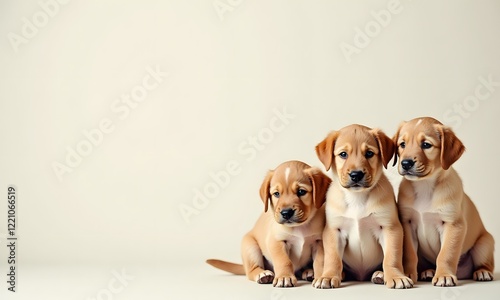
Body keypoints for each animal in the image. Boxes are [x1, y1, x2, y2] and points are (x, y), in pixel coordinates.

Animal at [312, 124, 414, 288]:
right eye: (343, 154)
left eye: (369, 153)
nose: (356, 175)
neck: (357, 197)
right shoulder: (334, 230)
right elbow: (333, 258)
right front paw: (328, 276)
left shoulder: (390, 227)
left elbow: (391, 257)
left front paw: (396, 276)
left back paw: (380, 275)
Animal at [394, 116, 496, 286]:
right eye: (402, 144)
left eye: (426, 145)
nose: (406, 163)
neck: (425, 186)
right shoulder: (407, 224)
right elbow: (410, 254)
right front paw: (408, 273)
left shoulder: (453, 224)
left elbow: (446, 254)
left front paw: (444, 275)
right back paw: (428, 272)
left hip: (484, 244)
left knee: (486, 263)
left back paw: (482, 272)